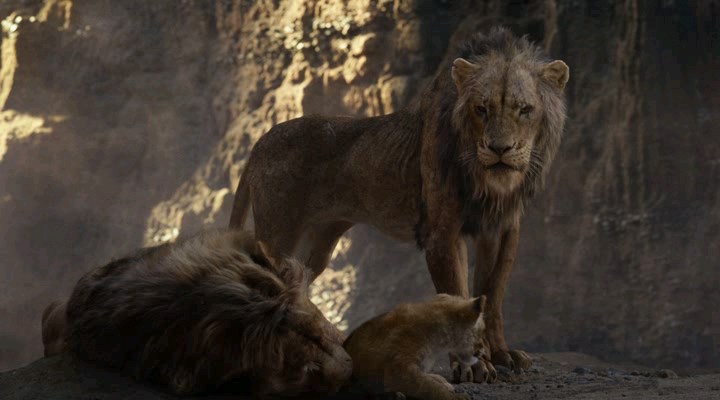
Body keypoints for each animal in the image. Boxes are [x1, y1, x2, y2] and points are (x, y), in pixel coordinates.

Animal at [229, 27, 569, 381]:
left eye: (525, 109)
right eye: (481, 109)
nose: (499, 149)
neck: (489, 185)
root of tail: (260, 142)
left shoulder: (502, 231)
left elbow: (494, 296)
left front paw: (501, 354)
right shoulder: (443, 233)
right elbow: (458, 295)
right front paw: (472, 365)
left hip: (315, 246)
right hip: (279, 234)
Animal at [343, 295, 488, 400]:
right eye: (481, 331)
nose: (483, 351)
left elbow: (429, 379)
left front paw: (443, 382)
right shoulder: (399, 372)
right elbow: (430, 387)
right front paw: (457, 397)